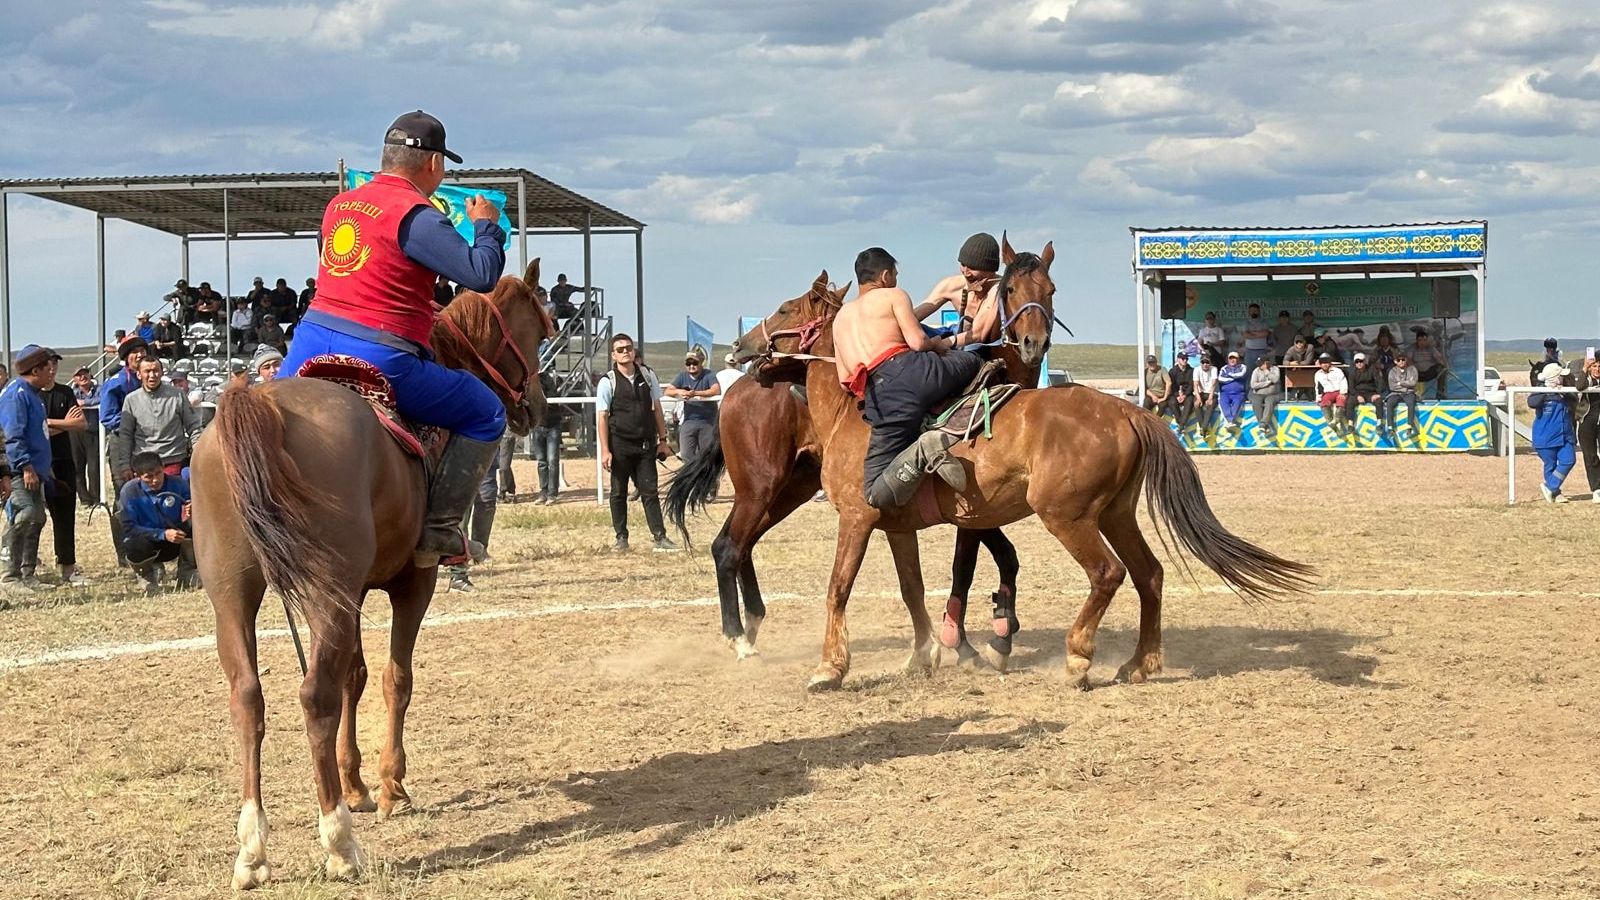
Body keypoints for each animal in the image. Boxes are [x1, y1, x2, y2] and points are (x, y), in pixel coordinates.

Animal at [192, 257, 556, 883]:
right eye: (537, 330)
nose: (535, 404)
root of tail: (260, 405)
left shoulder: (353, 593)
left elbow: (356, 678)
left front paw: (357, 783)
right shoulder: (414, 583)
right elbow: (394, 678)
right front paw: (389, 787)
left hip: (234, 593)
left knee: (248, 699)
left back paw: (253, 849)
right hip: (322, 588)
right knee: (314, 696)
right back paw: (339, 842)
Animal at [665, 238, 1062, 666]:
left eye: (1050, 291)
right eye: (1010, 289)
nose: (1033, 344)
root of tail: (734, 390)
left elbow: (991, 559)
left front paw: (985, 631)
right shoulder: (968, 504)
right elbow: (976, 563)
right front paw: (978, 638)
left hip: (790, 488)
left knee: (743, 544)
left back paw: (751, 624)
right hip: (759, 486)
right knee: (728, 546)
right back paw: (738, 636)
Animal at [732, 241, 1312, 688]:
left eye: (783, 309)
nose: (740, 345)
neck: (853, 402)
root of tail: (1126, 408)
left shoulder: (858, 517)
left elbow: (838, 587)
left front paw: (830, 668)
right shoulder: (898, 525)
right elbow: (913, 588)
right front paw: (924, 655)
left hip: (1067, 515)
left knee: (1108, 573)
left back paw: (1078, 657)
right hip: (1115, 514)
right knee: (1148, 573)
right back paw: (1139, 663)